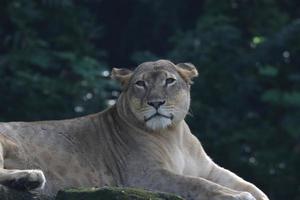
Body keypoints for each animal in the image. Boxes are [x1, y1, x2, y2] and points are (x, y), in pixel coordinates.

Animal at [0, 59, 270, 200]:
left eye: (169, 81)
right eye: (140, 84)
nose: (156, 102)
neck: (173, 135)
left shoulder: (210, 169)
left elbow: (245, 183)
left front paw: (255, 195)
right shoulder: (143, 177)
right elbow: (195, 183)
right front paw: (238, 196)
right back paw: (30, 177)